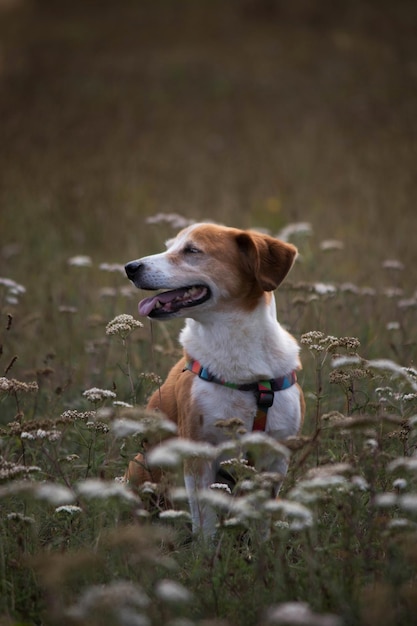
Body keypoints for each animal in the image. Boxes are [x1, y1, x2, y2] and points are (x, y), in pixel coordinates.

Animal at [122, 222, 302, 532]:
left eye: (192, 250)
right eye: (169, 247)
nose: (130, 267)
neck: (237, 349)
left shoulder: (276, 458)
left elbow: (261, 524)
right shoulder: (197, 456)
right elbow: (205, 524)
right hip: (139, 468)